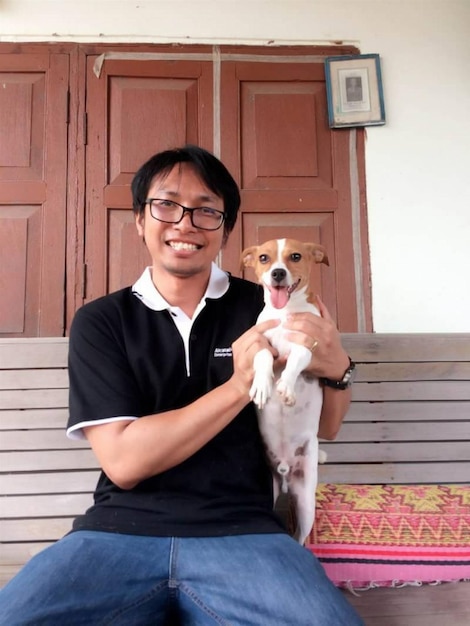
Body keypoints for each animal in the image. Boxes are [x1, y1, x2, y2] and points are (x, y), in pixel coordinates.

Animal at [241, 236, 328, 544]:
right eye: (264, 258)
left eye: (296, 256)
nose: (278, 273)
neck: (284, 313)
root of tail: (285, 471)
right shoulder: (258, 341)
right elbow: (264, 357)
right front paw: (262, 385)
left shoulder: (309, 347)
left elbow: (293, 361)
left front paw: (286, 386)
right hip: (269, 493)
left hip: (306, 504)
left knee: (299, 537)